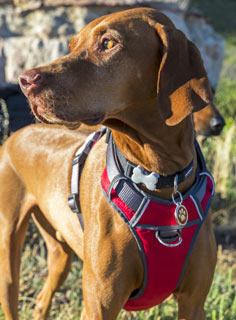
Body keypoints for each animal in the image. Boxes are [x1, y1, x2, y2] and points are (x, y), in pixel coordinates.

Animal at [0, 7, 218, 320]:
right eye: (71, 46)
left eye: (108, 43)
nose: (25, 80)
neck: (159, 176)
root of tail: (17, 133)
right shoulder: (99, 305)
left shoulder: (193, 303)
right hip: (8, 254)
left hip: (60, 255)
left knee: (42, 299)